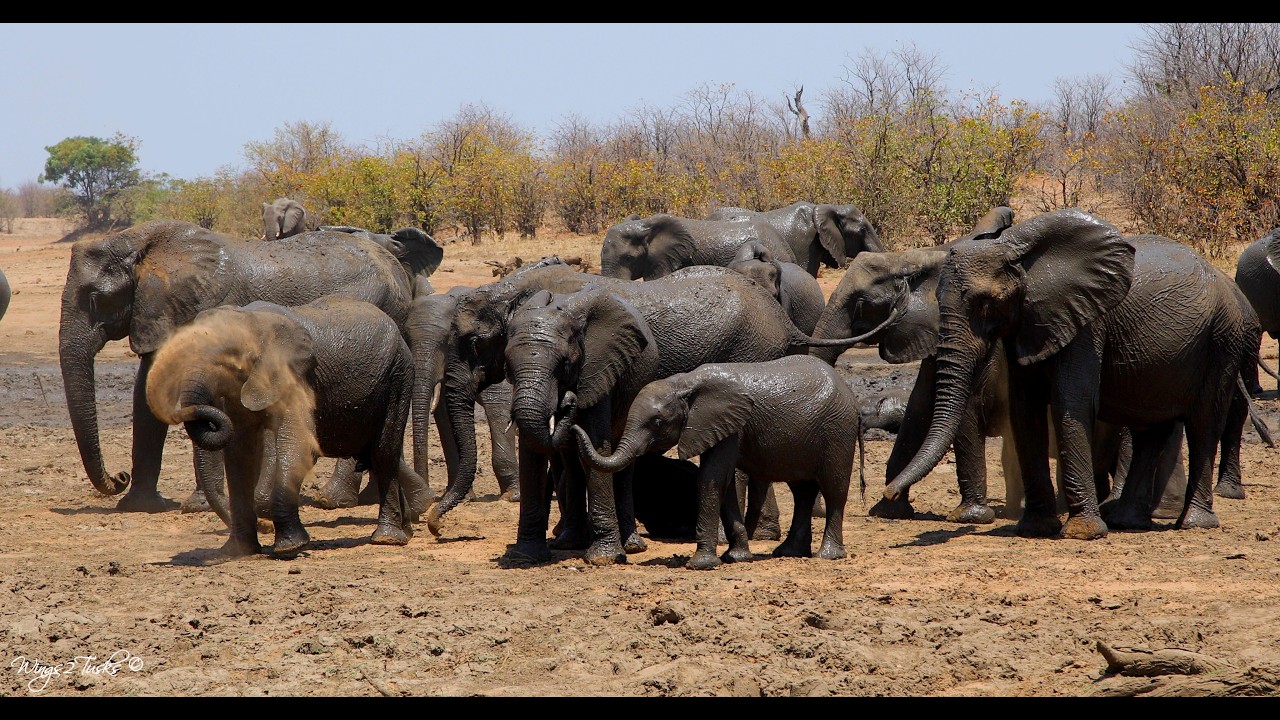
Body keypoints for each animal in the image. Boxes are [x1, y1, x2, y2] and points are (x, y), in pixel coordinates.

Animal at [58, 220, 440, 515]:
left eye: (96, 299)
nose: (118, 477)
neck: (143, 244)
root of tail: (393, 262)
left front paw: (197, 506)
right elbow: (147, 393)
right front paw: (138, 506)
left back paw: (334, 501)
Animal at [145, 295, 420, 556]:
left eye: (228, 363)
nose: (264, 527)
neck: (252, 320)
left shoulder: (296, 379)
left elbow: (295, 446)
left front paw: (290, 548)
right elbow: (240, 454)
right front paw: (238, 551)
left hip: (398, 376)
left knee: (383, 454)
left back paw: (387, 538)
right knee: (376, 458)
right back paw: (405, 531)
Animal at [573, 355, 864, 570]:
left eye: (657, 422)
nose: (572, 409)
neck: (685, 382)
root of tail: (850, 393)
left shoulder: (730, 425)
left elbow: (711, 478)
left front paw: (700, 564)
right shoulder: (712, 427)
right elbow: (724, 482)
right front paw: (736, 558)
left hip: (838, 430)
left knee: (834, 490)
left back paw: (828, 556)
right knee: (802, 491)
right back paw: (788, 552)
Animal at [882, 208, 1262, 539]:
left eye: (986, 302)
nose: (888, 492)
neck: (1017, 250)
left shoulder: (1088, 322)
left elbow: (1071, 401)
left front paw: (1082, 533)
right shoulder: (1029, 321)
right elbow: (1025, 409)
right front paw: (1035, 529)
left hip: (1223, 337)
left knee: (1204, 421)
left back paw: (1194, 523)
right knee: (1151, 429)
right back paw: (1127, 521)